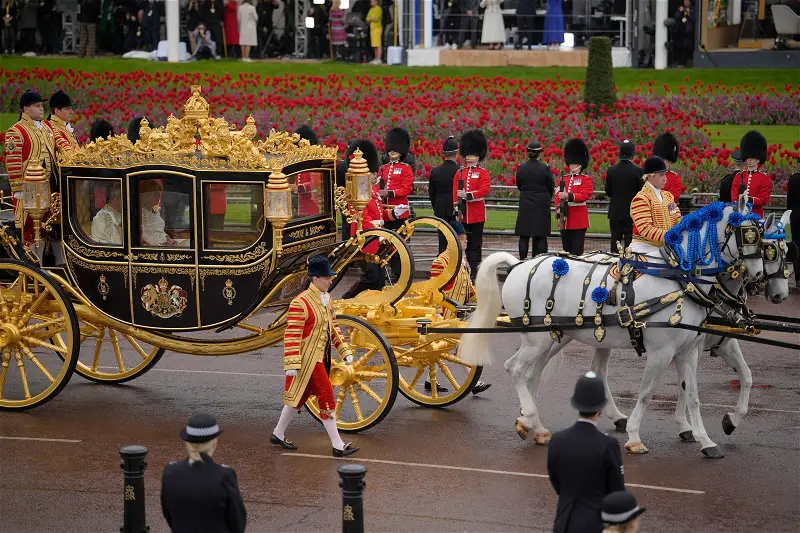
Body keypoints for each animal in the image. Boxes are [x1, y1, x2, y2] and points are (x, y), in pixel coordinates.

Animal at [456, 200, 764, 458]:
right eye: (749, 234)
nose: (759, 277)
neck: (677, 279)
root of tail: (518, 265)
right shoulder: (661, 352)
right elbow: (646, 392)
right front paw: (635, 437)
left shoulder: (687, 352)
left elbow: (693, 396)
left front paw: (705, 440)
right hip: (538, 340)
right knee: (516, 369)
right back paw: (530, 417)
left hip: (551, 338)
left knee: (531, 374)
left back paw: (535, 426)